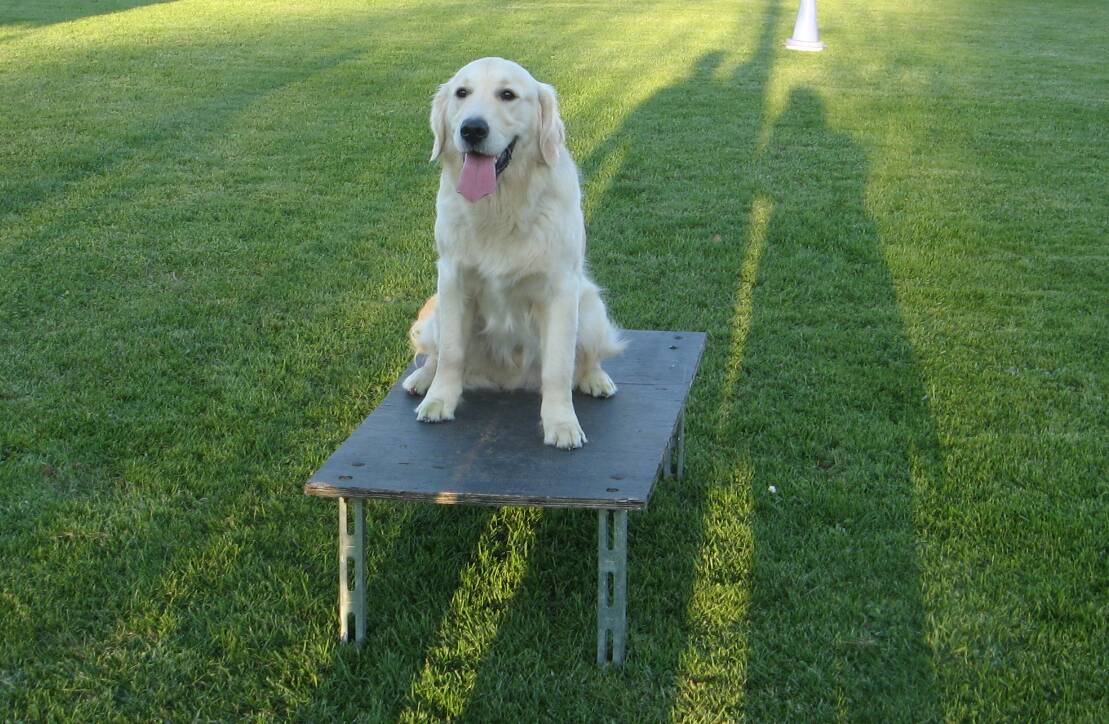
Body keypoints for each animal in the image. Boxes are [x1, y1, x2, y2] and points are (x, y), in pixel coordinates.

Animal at [403, 59, 625, 447]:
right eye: (462, 92)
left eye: (507, 95)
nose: (472, 129)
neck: (501, 205)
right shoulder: (453, 280)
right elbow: (451, 353)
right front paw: (440, 400)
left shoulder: (561, 290)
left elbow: (558, 366)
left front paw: (561, 423)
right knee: (435, 353)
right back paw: (422, 381)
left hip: (591, 308)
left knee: (588, 355)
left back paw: (595, 378)